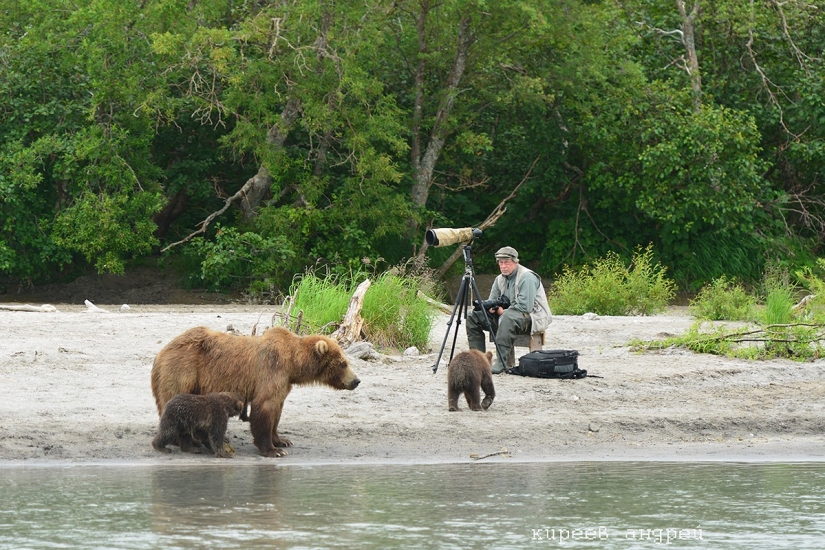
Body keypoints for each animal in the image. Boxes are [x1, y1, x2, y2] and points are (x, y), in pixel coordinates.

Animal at [150, 328, 360, 462]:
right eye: (343, 363)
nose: (356, 381)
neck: (293, 364)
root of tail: (160, 353)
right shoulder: (271, 370)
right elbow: (264, 409)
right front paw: (273, 450)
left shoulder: (284, 383)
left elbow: (277, 412)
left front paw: (283, 441)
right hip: (183, 371)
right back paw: (187, 441)